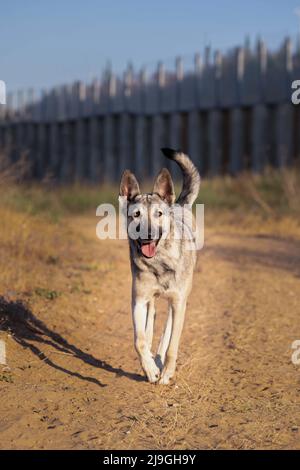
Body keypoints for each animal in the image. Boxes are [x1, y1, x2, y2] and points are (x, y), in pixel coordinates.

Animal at [118, 148, 200, 386]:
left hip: (179, 301)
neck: (159, 261)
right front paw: (150, 370)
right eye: (136, 215)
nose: (147, 234)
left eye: (158, 214)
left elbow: (172, 345)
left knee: (167, 331)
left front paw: (165, 373)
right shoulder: (138, 300)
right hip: (150, 299)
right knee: (150, 322)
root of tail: (178, 204)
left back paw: (160, 361)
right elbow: (139, 340)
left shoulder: (179, 303)